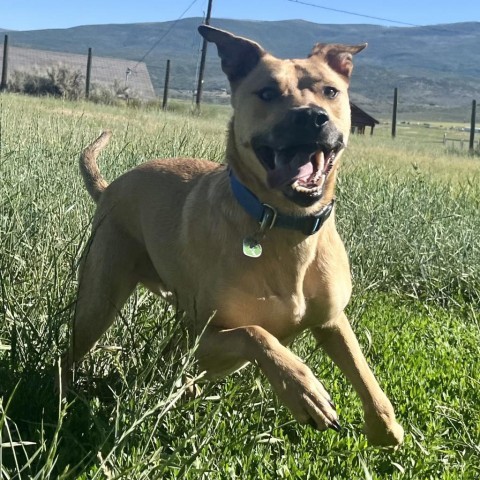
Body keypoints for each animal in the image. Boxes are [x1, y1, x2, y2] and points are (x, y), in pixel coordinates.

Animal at [61, 25, 404, 446]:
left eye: (331, 91)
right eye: (268, 93)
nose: (312, 117)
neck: (285, 228)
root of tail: (111, 187)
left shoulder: (331, 320)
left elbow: (362, 369)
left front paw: (385, 427)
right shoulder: (204, 336)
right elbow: (256, 334)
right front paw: (303, 389)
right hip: (99, 300)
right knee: (72, 351)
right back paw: (61, 396)